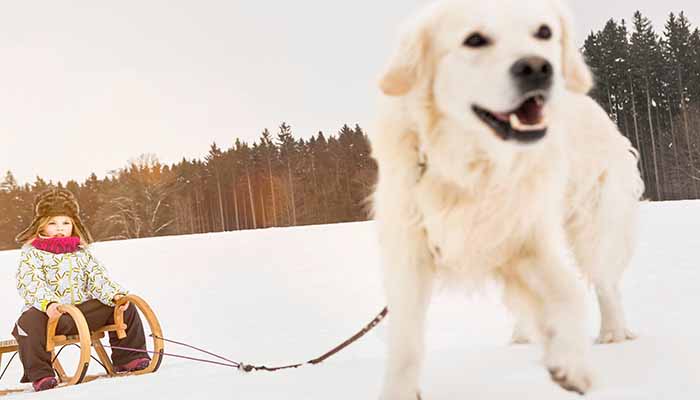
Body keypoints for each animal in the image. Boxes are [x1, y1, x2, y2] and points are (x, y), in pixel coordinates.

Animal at [372, 0, 644, 396]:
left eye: (544, 32)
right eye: (474, 39)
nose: (537, 68)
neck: (474, 163)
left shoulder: (529, 234)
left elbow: (567, 294)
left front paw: (571, 364)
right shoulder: (411, 247)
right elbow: (406, 339)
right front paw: (399, 392)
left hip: (594, 222)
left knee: (604, 280)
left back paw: (612, 333)